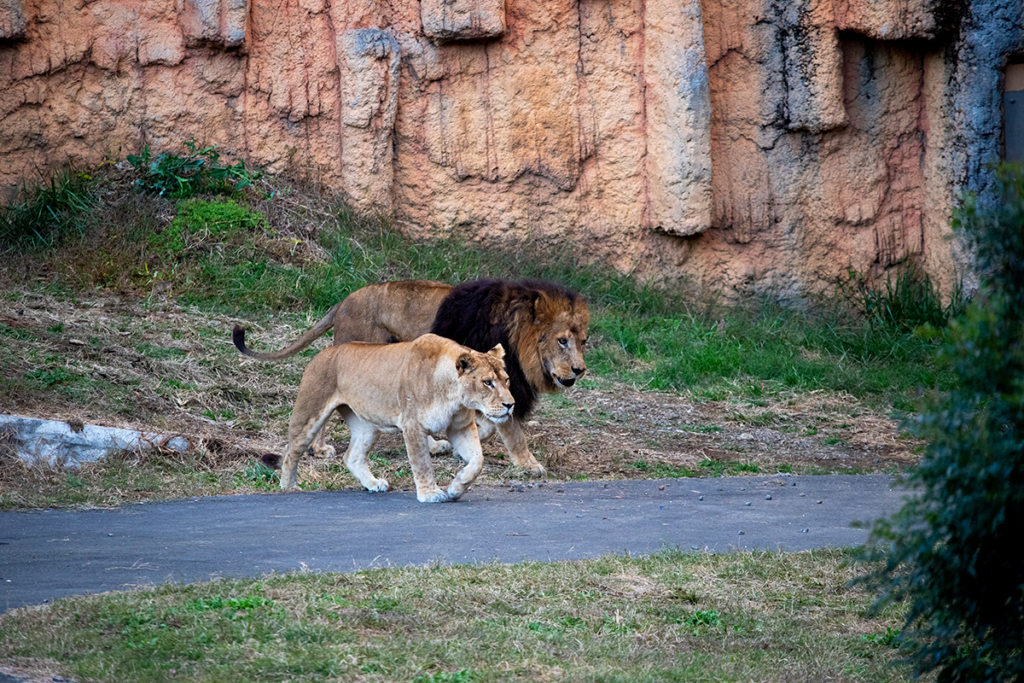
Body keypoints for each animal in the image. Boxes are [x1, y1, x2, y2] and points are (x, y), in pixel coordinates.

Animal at [230, 278, 585, 475]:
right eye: (561, 340)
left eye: (583, 341)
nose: (580, 370)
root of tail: (345, 300)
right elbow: (510, 429)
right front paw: (530, 465)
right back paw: (320, 448)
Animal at [278, 333, 512, 505]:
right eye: (487, 382)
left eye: (506, 380)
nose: (511, 405)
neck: (453, 396)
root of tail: (323, 352)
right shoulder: (413, 426)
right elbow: (422, 462)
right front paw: (430, 493)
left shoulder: (461, 427)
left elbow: (477, 461)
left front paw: (456, 487)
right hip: (308, 414)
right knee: (290, 451)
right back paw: (289, 487)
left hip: (368, 427)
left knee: (351, 456)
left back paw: (373, 483)